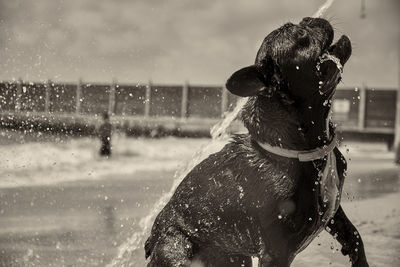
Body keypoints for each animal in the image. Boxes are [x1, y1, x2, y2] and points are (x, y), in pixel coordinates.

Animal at [145, 17, 368, 266]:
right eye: (301, 37)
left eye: (303, 23)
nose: (311, 19)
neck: (305, 148)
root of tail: (152, 240)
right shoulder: (276, 252)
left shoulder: (333, 212)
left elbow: (354, 237)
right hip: (177, 249)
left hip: (235, 258)